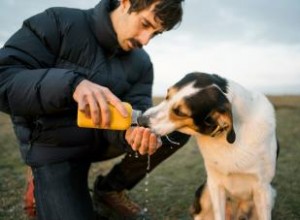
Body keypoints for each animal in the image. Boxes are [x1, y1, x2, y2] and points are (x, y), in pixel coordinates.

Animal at [139, 72, 278, 220]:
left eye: (181, 113)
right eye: (167, 95)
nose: (140, 120)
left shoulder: (262, 188)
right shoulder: (215, 184)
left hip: (271, 193)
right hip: (205, 191)